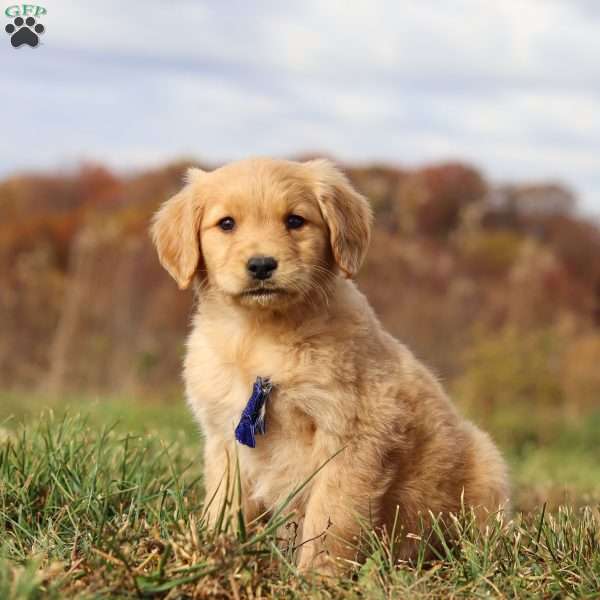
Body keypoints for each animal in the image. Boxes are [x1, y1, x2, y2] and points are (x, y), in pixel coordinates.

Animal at [149, 158, 506, 572]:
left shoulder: (354, 436)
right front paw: (214, 553)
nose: (261, 265)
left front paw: (315, 577)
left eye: (295, 221)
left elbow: (330, 519)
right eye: (226, 224)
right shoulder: (226, 438)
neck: (261, 335)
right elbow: (224, 505)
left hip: (486, 469)